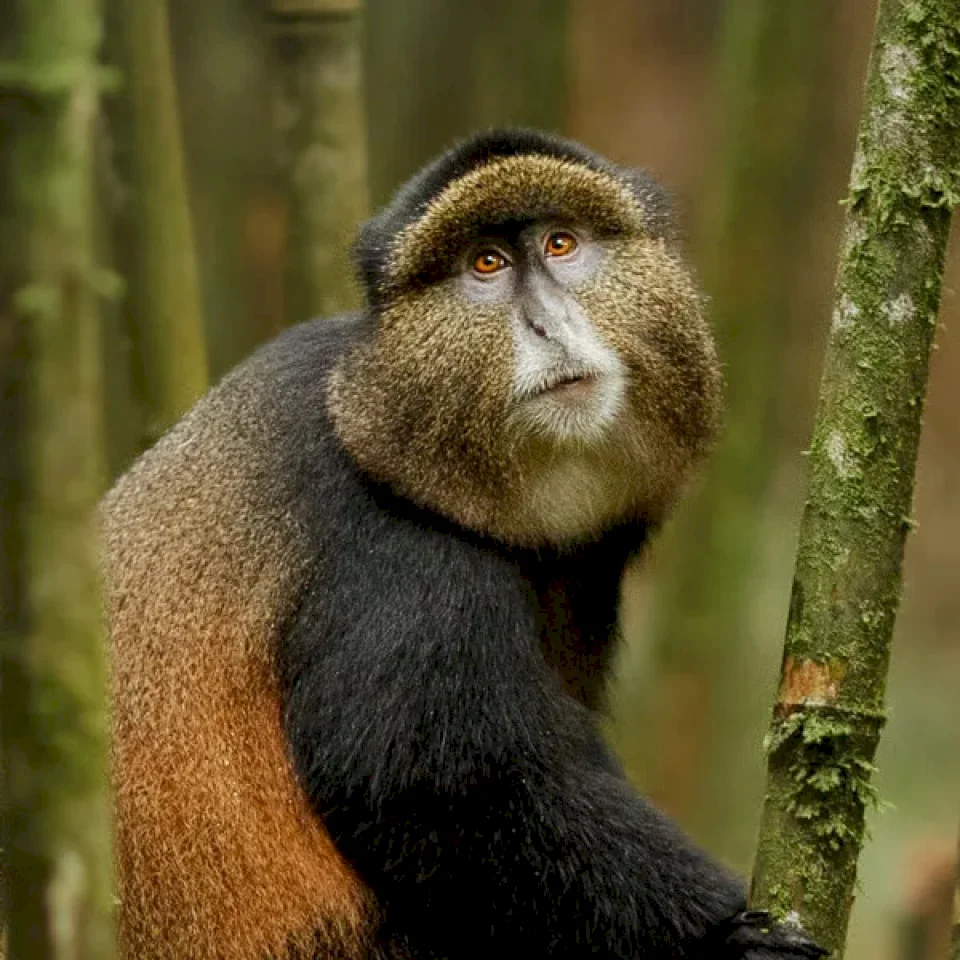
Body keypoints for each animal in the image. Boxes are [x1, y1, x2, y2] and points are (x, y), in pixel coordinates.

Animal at [102, 129, 824, 960]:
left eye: (560, 244)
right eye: (486, 264)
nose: (546, 325)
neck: (371, 411)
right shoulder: (398, 563)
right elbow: (434, 790)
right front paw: (725, 937)